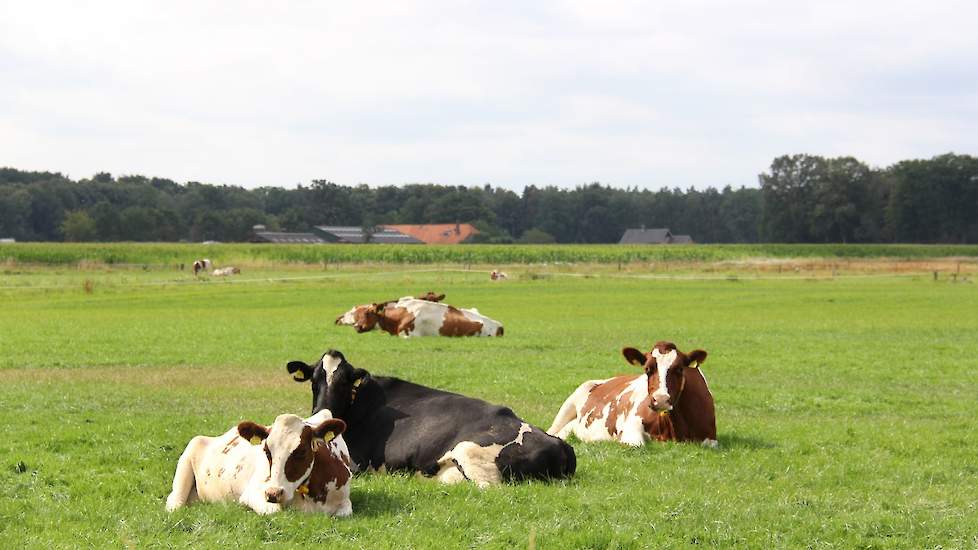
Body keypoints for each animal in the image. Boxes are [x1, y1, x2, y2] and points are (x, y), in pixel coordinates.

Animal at [166, 412, 352, 520]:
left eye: (301, 451)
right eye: (266, 451)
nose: (273, 493)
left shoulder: (345, 504)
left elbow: (344, 512)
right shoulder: (252, 493)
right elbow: (273, 511)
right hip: (189, 455)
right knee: (174, 502)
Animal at [284, 352, 572, 490]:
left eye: (345, 383)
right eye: (314, 381)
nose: (320, 412)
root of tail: (560, 444)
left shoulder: (358, 463)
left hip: (470, 453)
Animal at [544, 342, 712, 450]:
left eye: (679, 369)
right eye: (647, 369)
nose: (661, 400)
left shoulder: (710, 438)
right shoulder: (631, 426)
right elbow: (636, 444)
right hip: (568, 405)